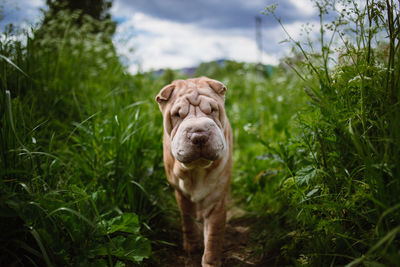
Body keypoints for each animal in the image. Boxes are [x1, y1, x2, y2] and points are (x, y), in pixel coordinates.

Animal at [155, 76, 233, 266]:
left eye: (212, 110)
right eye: (177, 115)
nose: (199, 135)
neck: (196, 169)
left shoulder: (216, 200)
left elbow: (213, 235)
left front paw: (210, 261)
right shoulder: (181, 194)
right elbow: (187, 220)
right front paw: (192, 246)